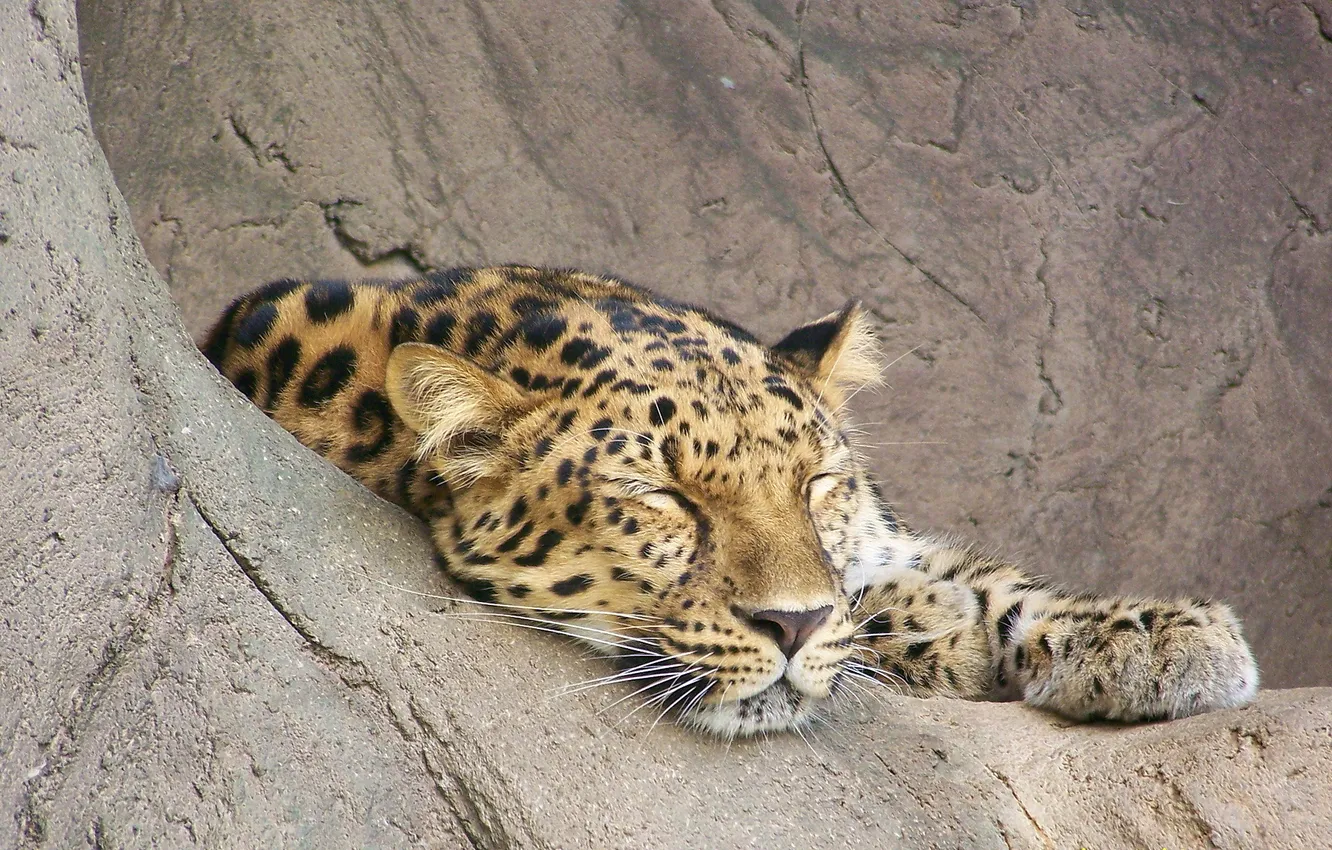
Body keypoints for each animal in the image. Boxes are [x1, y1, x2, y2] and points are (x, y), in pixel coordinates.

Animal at [202, 265, 1259, 737]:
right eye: (661, 498)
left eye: (817, 485)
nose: (791, 628)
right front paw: (930, 624)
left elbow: (961, 573)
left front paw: (1158, 633)